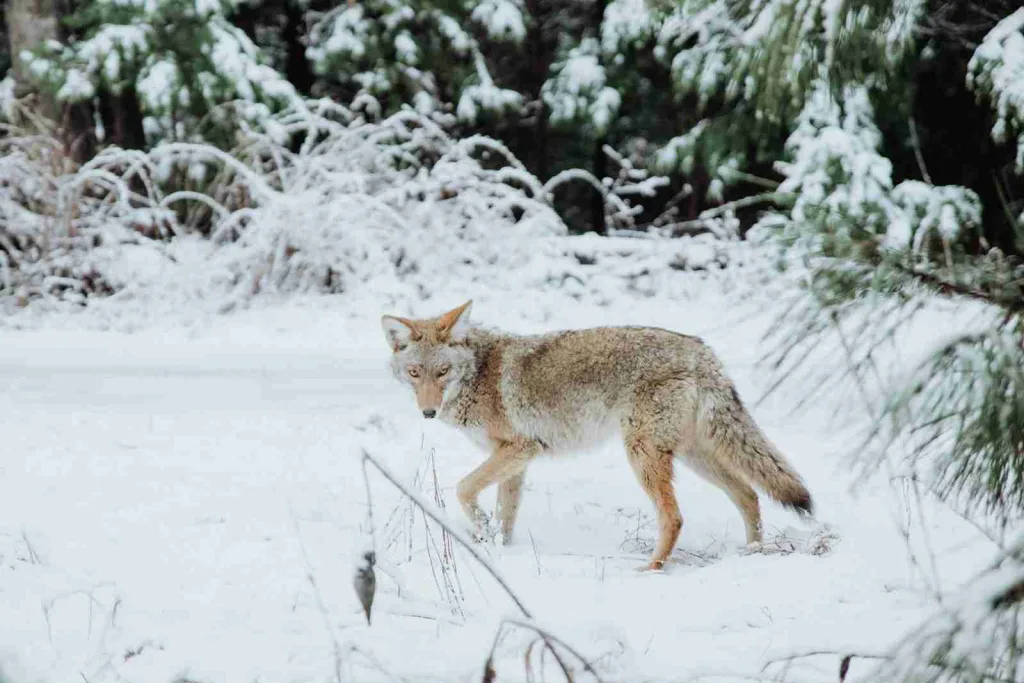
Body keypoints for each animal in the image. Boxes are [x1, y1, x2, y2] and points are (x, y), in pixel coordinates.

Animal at [381, 300, 814, 571]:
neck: (478, 373)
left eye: (442, 372)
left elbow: (463, 489)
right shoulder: (516, 461)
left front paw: (482, 531)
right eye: (415, 373)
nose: (428, 412)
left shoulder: (519, 449)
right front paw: (499, 550)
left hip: (643, 455)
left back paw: (651, 569)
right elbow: (506, 515)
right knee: (749, 495)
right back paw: (752, 553)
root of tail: (702, 352)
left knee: (675, 517)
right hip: (694, 456)